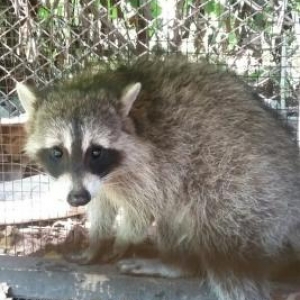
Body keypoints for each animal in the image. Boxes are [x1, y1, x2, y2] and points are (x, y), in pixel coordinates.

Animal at [17, 58, 300, 300]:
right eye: (57, 152)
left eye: (96, 152)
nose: (77, 198)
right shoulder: (95, 184)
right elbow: (101, 204)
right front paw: (96, 241)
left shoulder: (156, 161)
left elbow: (145, 205)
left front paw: (124, 238)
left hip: (241, 188)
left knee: (199, 221)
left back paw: (176, 263)